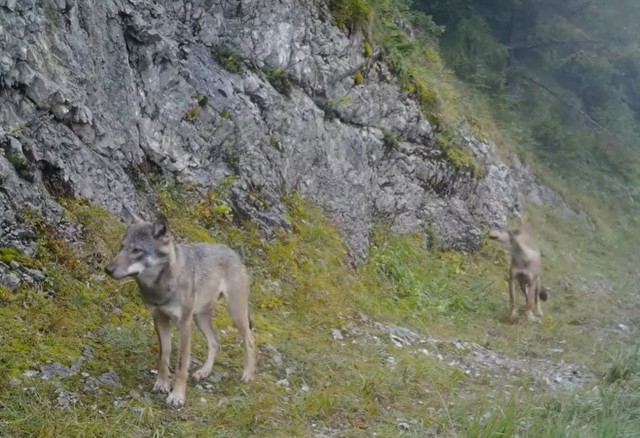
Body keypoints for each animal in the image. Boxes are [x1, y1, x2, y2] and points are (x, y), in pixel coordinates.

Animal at [104, 207, 256, 408]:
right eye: (122, 247)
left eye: (137, 250)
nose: (107, 269)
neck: (161, 287)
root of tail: (233, 252)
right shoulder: (160, 319)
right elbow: (164, 356)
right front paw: (162, 384)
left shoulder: (184, 324)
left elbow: (181, 364)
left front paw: (177, 396)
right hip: (200, 318)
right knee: (215, 343)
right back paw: (204, 372)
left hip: (235, 314)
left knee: (250, 339)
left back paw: (248, 374)